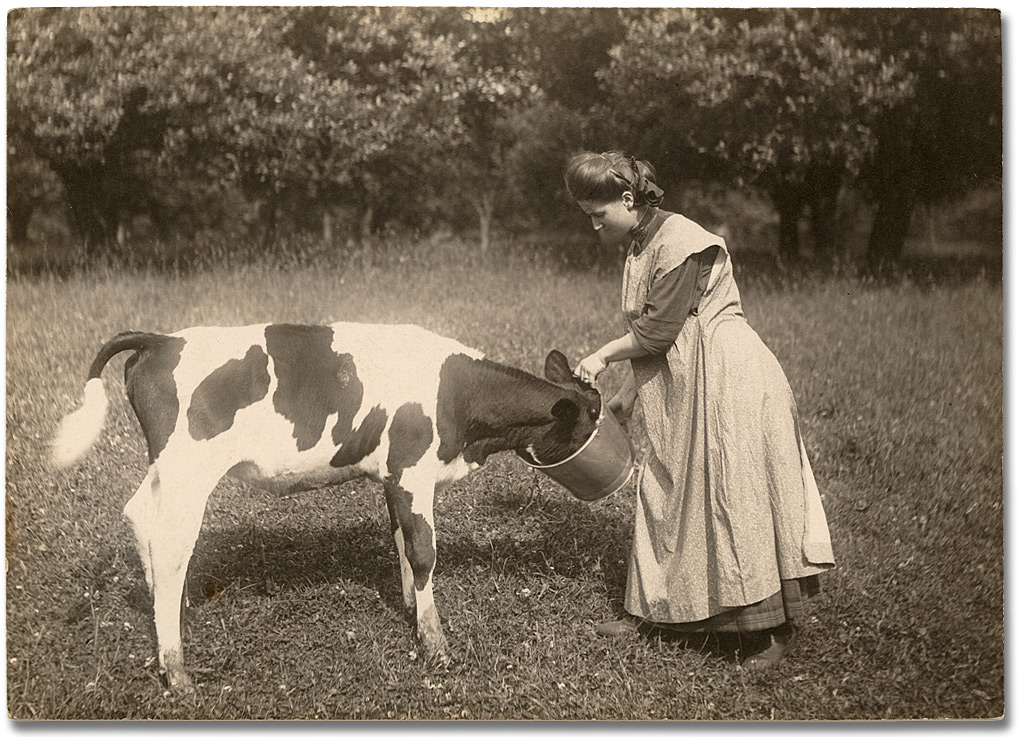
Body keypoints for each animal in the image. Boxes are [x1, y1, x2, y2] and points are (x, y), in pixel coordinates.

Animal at [51, 322, 599, 693]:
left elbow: (401, 543)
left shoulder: (392, 477)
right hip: (190, 471)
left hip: (168, 471)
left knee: (140, 516)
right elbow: (423, 552)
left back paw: (172, 616)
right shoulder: (412, 470)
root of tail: (161, 340)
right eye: (593, 416)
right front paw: (436, 645)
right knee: (169, 546)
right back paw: (177, 668)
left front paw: (411, 610)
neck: (458, 396)